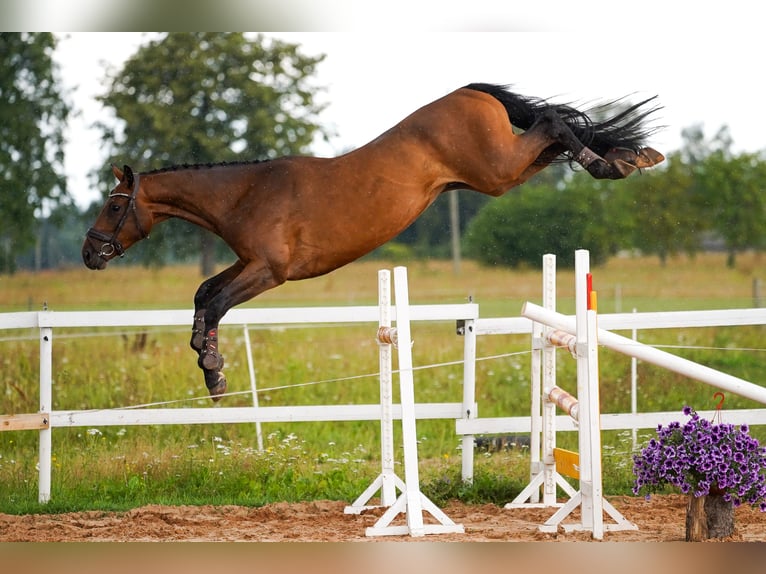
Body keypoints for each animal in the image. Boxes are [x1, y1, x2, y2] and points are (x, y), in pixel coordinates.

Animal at [81, 83, 664, 402]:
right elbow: (204, 293)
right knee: (556, 136)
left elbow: (217, 300)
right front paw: (212, 371)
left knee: (553, 124)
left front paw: (212, 367)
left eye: (113, 205)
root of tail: (469, 93)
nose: (89, 253)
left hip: (497, 170)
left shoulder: (268, 270)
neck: (246, 192)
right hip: (501, 175)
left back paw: (612, 164)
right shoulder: (247, 262)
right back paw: (628, 158)